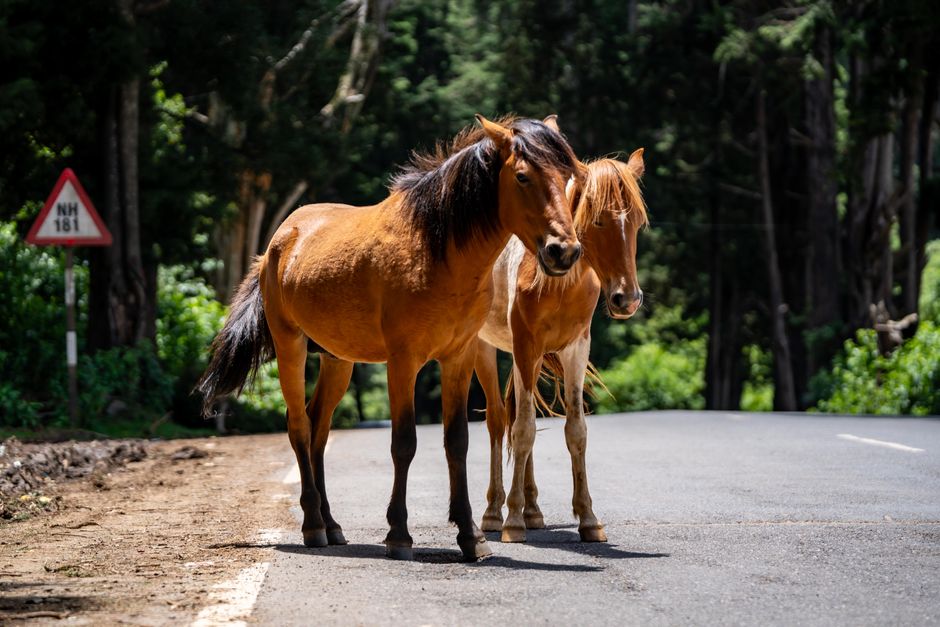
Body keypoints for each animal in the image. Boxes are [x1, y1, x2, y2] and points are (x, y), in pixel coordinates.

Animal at [197, 115, 584, 561]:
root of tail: (279, 241)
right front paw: (398, 534)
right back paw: (313, 526)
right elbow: (404, 443)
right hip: (289, 344)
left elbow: (456, 442)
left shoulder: (458, 358)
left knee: (318, 428)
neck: (437, 251)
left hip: (338, 359)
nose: (564, 251)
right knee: (298, 427)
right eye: (522, 176)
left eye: (568, 176)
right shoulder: (403, 361)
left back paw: (332, 524)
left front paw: (470, 536)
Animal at [473, 150, 647, 543]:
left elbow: (574, 431)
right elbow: (522, 429)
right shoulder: (525, 346)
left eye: (638, 223)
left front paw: (589, 518)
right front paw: (512, 521)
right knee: (498, 421)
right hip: (483, 349)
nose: (627, 299)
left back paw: (532, 509)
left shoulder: (575, 350)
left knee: (518, 417)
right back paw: (494, 511)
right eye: (598, 220)